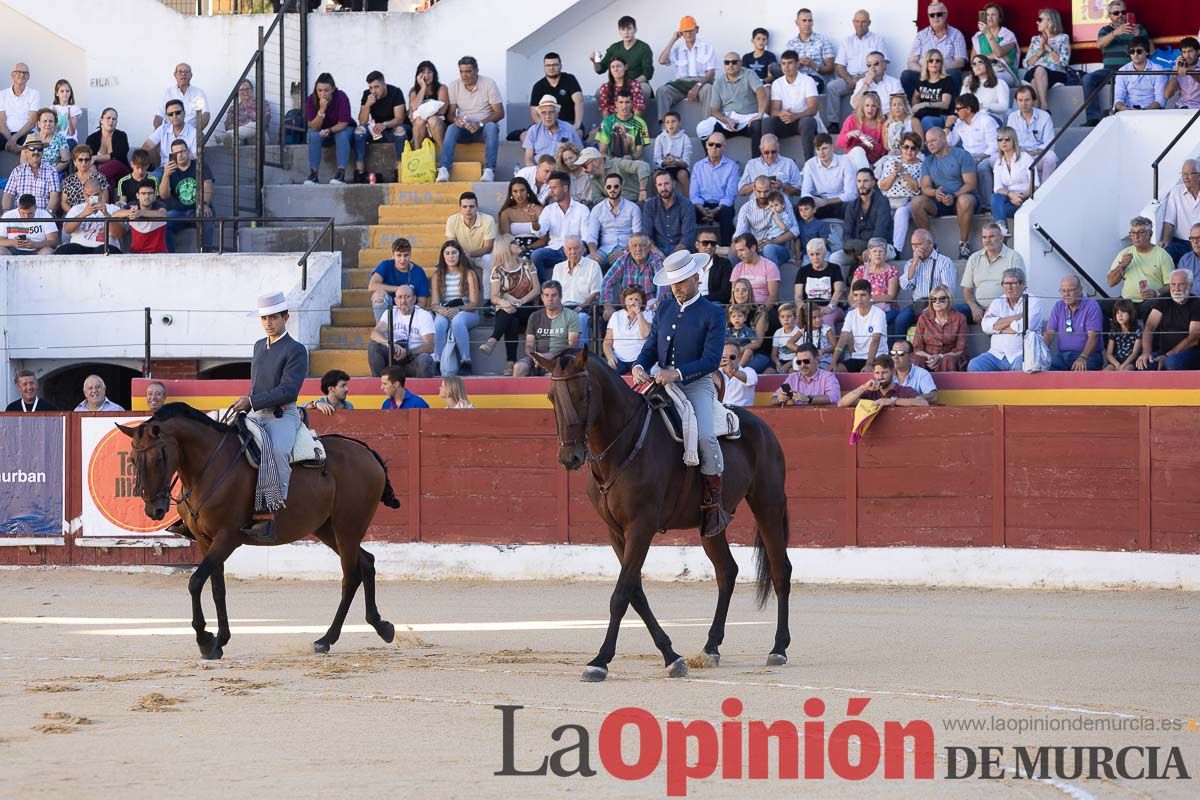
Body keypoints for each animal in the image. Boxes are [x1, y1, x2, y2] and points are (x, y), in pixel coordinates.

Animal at [117, 402, 400, 662]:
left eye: (159, 458)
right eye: (131, 460)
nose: (154, 509)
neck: (208, 467)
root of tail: (367, 453)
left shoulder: (227, 538)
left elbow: (195, 581)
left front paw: (205, 640)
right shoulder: (205, 540)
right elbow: (217, 588)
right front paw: (220, 640)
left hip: (348, 527)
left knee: (350, 577)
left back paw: (327, 638)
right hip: (328, 529)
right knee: (367, 562)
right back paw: (382, 626)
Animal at [530, 347, 792, 681]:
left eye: (584, 393)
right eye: (551, 396)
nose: (569, 457)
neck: (623, 445)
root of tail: (762, 427)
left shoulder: (641, 527)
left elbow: (621, 593)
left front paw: (600, 660)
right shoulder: (615, 532)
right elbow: (635, 592)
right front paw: (671, 655)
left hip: (768, 505)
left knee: (780, 570)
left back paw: (778, 648)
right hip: (711, 526)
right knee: (727, 571)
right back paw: (711, 647)